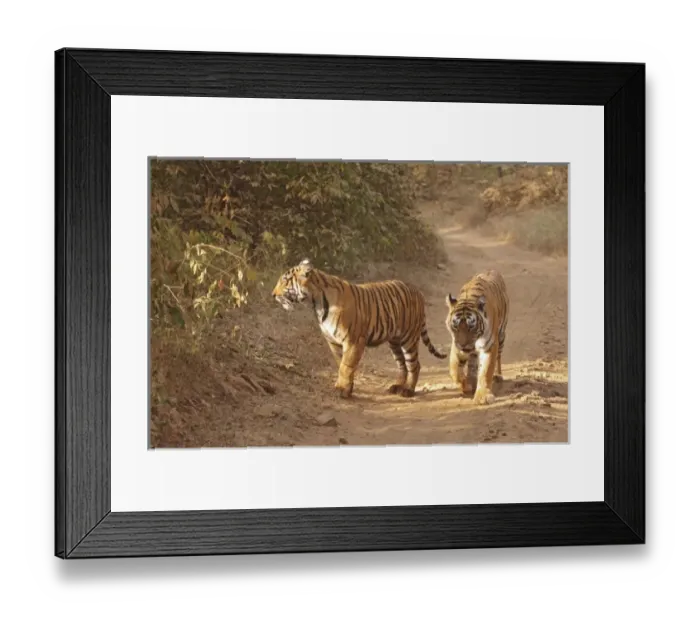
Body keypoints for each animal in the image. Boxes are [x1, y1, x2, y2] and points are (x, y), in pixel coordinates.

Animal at [271, 259, 447, 399]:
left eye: (285, 281)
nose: (273, 295)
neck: (316, 303)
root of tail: (417, 291)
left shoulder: (353, 340)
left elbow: (346, 366)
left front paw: (342, 390)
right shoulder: (333, 342)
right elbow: (341, 363)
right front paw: (346, 388)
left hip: (408, 338)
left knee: (414, 365)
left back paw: (408, 391)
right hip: (394, 342)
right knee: (402, 365)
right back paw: (397, 386)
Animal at [444, 269, 509, 405]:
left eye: (471, 327)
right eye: (455, 326)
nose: (463, 345)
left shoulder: (490, 346)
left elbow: (486, 371)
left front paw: (482, 397)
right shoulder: (456, 345)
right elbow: (454, 369)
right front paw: (465, 384)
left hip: (501, 335)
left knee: (498, 357)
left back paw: (498, 375)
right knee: (472, 363)